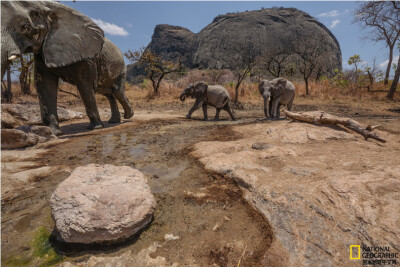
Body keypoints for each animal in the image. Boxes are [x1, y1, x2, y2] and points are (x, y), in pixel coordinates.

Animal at [0, 0, 134, 134]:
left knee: (117, 91)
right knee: (108, 93)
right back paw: (114, 121)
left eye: (25, 27)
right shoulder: (42, 51)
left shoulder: (86, 56)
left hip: (122, 67)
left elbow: (84, 84)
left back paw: (128, 116)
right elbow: (45, 84)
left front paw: (95, 127)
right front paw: (53, 132)